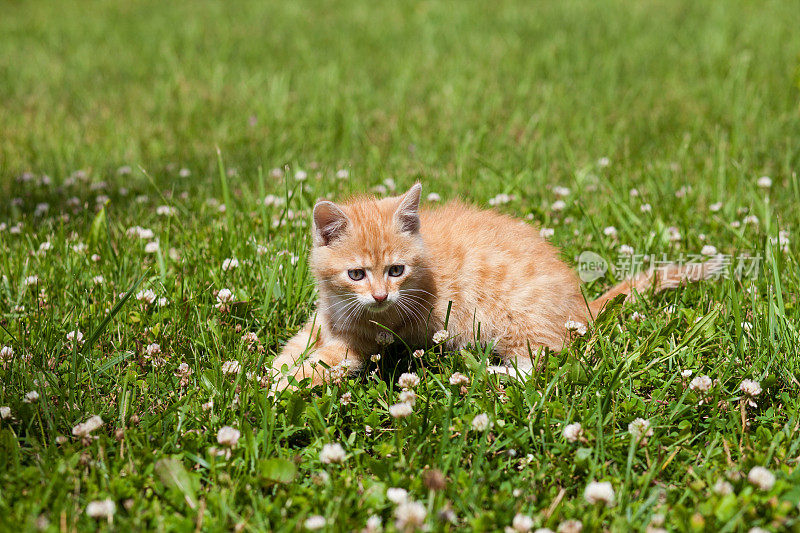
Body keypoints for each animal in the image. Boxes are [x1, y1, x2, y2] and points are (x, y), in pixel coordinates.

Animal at [272, 182, 720, 386]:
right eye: (357, 274)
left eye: (396, 270)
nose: (381, 296)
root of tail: (582, 305)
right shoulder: (325, 318)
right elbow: (299, 342)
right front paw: (274, 367)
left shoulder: (367, 340)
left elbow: (327, 360)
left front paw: (281, 384)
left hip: (514, 320)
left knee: (541, 360)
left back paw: (490, 372)